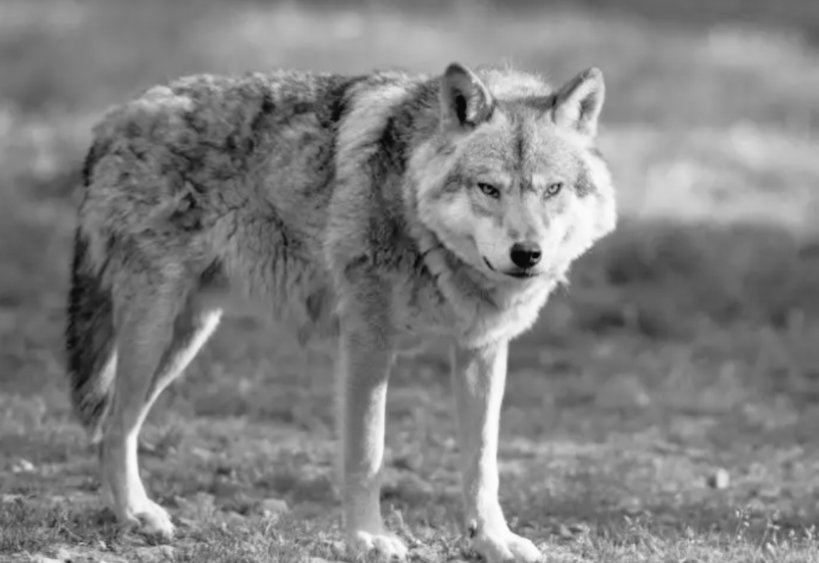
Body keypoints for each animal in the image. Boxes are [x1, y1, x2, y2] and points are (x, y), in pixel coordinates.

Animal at [64, 61, 616, 563]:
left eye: (552, 189)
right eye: (489, 189)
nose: (527, 254)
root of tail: (116, 117)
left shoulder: (480, 349)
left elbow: (483, 463)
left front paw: (493, 542)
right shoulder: (367, 341)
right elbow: (367, 452)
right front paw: (368, 539)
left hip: (185, 336)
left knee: (113, 425)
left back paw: (129, 513)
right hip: (154, 332)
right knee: (113, 424)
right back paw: (136, 515)